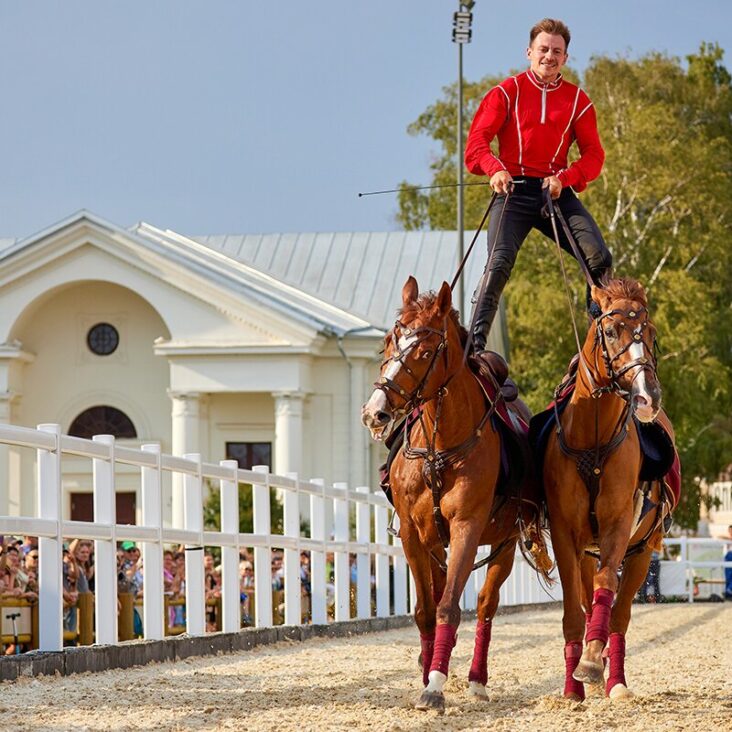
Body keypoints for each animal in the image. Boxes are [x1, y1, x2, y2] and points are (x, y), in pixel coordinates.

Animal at [360, 278, 548, 712]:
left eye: (426, 352)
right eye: (388, 344)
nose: (376, 412)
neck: (438, 451)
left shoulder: (467, 528)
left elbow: (448, 606)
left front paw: (435, 685)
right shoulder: (413, 536)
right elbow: (426, 611)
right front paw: (427, 672)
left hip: (504, 544)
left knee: (485, 606)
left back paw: (477, 679)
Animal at [544, 278, 676, 700]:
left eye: (649, 332)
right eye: (613, 330)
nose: (648, 397)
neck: (594, 440)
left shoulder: (618, 527)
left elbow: (606, 589)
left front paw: (590, 663)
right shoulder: (565, 536)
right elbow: (574, 608)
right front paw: (573, 685)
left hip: (641, 553)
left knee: (619, 616)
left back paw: (614, 678)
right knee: (589, 605)